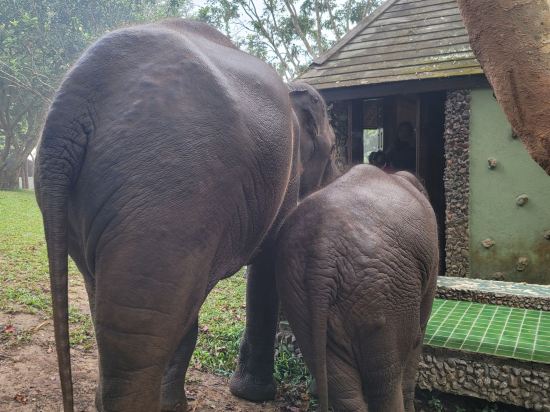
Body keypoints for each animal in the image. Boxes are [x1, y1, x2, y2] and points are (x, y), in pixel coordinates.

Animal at [35, 19, 336, 412]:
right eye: (334, 150)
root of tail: (72, 101)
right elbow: (266, 264)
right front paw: (254, 396)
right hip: (168, 195)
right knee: (138, 327)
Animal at [276, 165, 440, 412]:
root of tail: (322, 251)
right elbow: (419, 333)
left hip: (298, 296)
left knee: (338, 381)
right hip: (382, 294)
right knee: (386, 379)